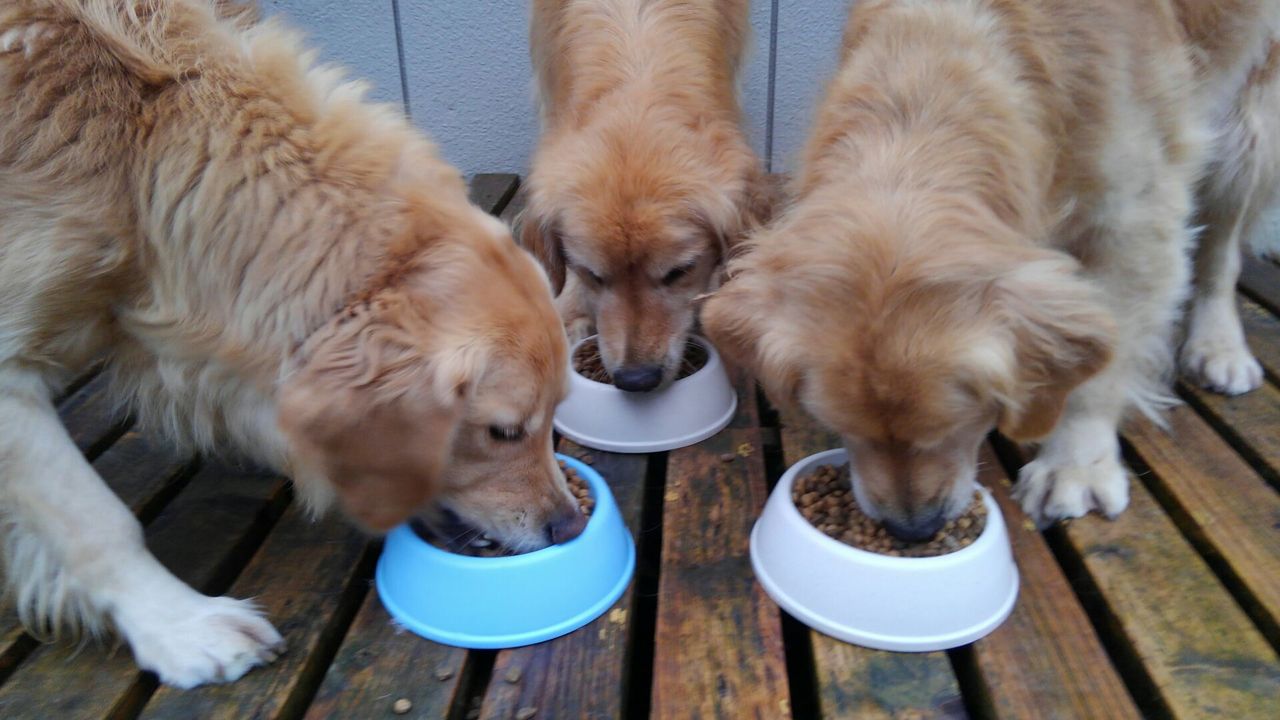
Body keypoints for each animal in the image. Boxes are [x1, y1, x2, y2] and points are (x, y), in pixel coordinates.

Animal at [704, 0, 1280, 538]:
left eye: (957, 424)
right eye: (842, 426)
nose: (912, 531)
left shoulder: (1136, 214)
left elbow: (1104, 367)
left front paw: (1076, 466)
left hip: (1245, 134)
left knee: (1223, 252)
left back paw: (1220, 348)